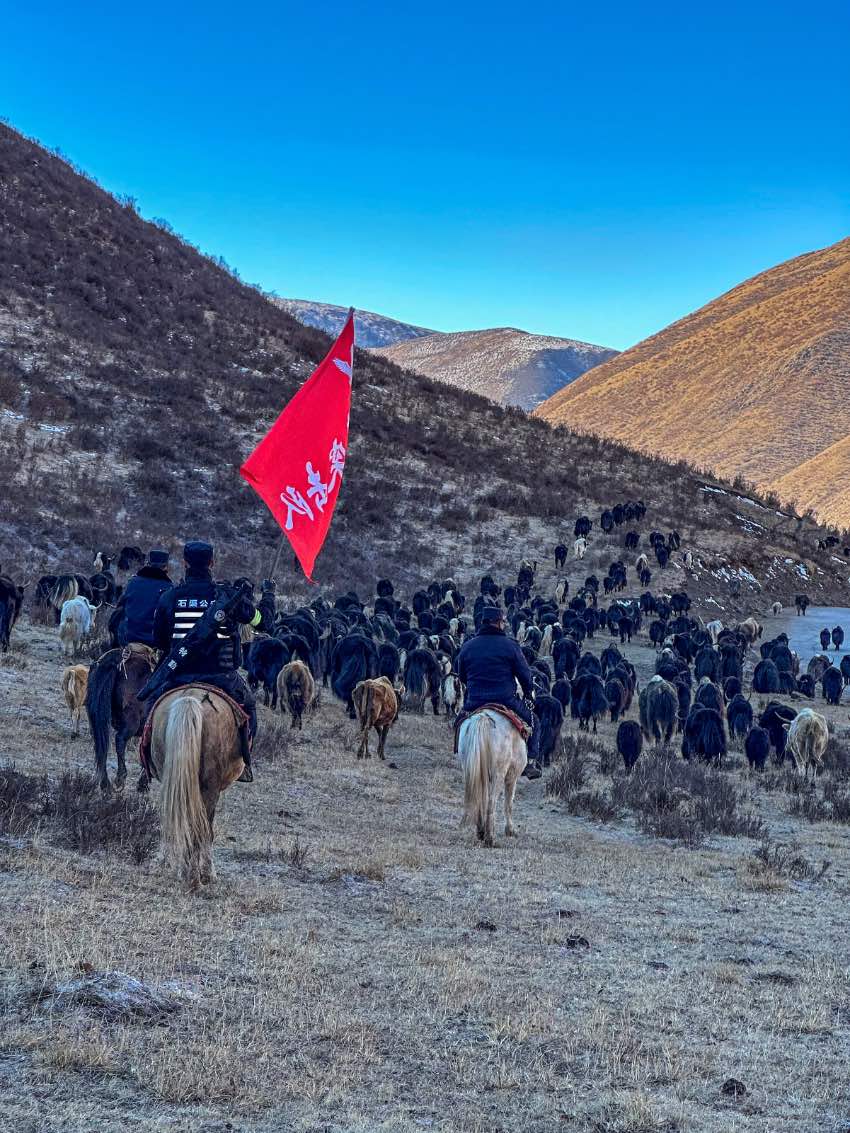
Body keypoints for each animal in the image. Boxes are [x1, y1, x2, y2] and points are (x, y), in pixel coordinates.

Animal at [146, 684, 244, 888]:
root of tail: (190, 699)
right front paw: (209, 874)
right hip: (209, 789)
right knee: (201, 830)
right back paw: (194, 877)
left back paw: (184, 872)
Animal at [460, 711, 525, 847]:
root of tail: (483, 718)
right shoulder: (512, 777)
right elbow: (508, 803)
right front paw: (510, 830)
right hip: (498, 775)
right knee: (491, 803)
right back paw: (490, 838)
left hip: (472, 772)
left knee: (480, 799)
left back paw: (481, 832)